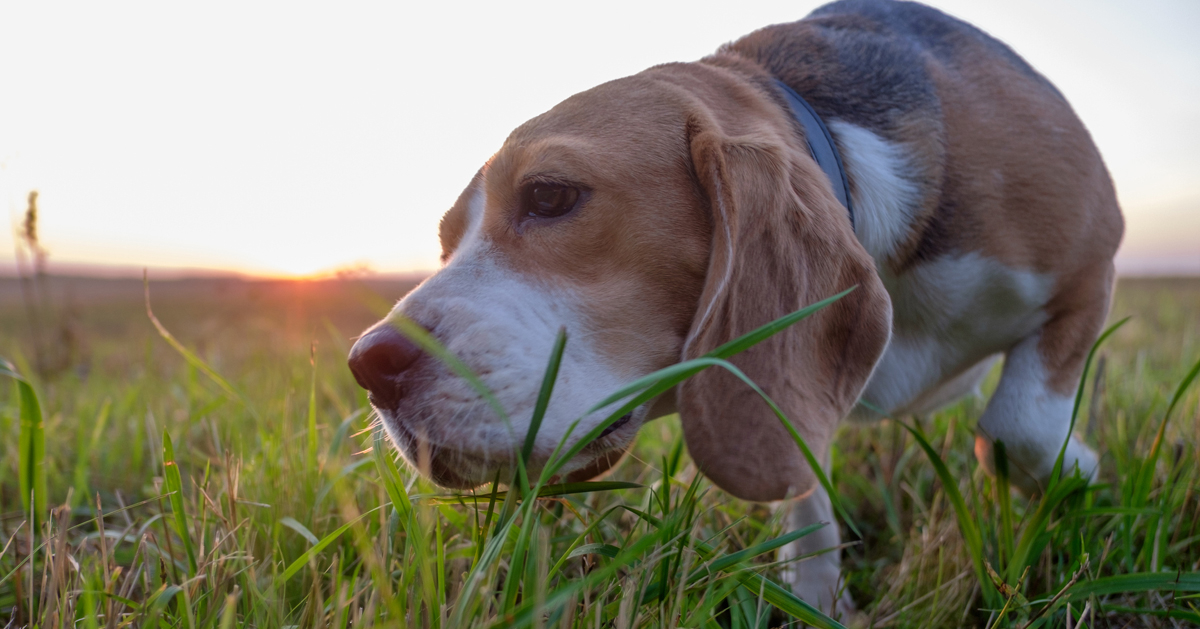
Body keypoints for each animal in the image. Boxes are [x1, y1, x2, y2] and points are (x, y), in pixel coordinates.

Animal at [348, 0, 1123, 612]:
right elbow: (804, 487)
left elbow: (1017, 427)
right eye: (446, 242)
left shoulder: (1092, 263)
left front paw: (1079, 475)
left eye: (550, 195)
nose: (369, 365)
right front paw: (816, 599)